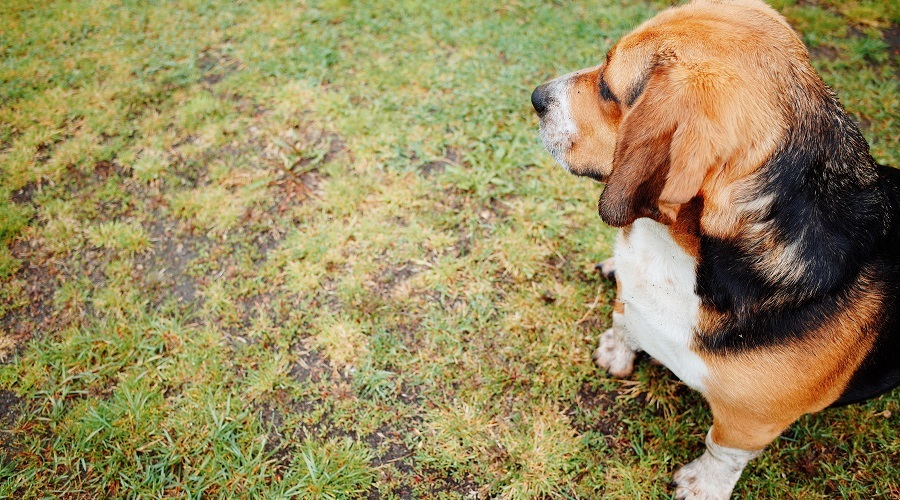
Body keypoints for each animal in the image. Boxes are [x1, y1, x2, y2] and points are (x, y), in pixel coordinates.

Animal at [532, 0, 896, 498]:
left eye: (608, 87)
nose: (536, 97)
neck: (676, 252)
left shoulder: (751, 422)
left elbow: (721, 451)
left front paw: (702, 485)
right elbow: (625, 317)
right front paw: (617, 347)